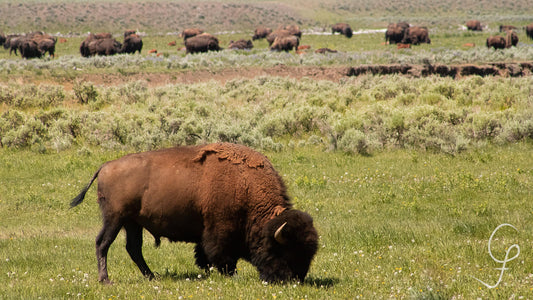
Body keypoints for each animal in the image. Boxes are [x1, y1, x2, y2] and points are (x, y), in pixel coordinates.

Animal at [72, 143, 318, 284]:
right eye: (284, 249)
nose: (293, 280)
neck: (245, 186)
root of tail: (105, 166)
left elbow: (204, 254)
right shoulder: (220, 230)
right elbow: (221, 255)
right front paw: (231, 275)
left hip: (133, 223)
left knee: (134, 248)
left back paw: (152, 277)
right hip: (115, 219)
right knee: (103, 243)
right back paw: (105, 280)